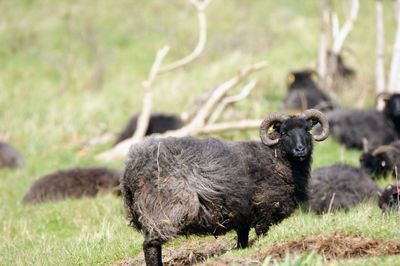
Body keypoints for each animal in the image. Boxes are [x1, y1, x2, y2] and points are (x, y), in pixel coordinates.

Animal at [121, 108, 328, 266]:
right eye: (284, 132)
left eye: (307, 130)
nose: (300, 150)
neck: (275, 158)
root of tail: (131, 167)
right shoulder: (265, 211)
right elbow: (262, 235)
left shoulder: (243, 215)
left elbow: (242, 240)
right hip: (163, 210)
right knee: (151, 245)